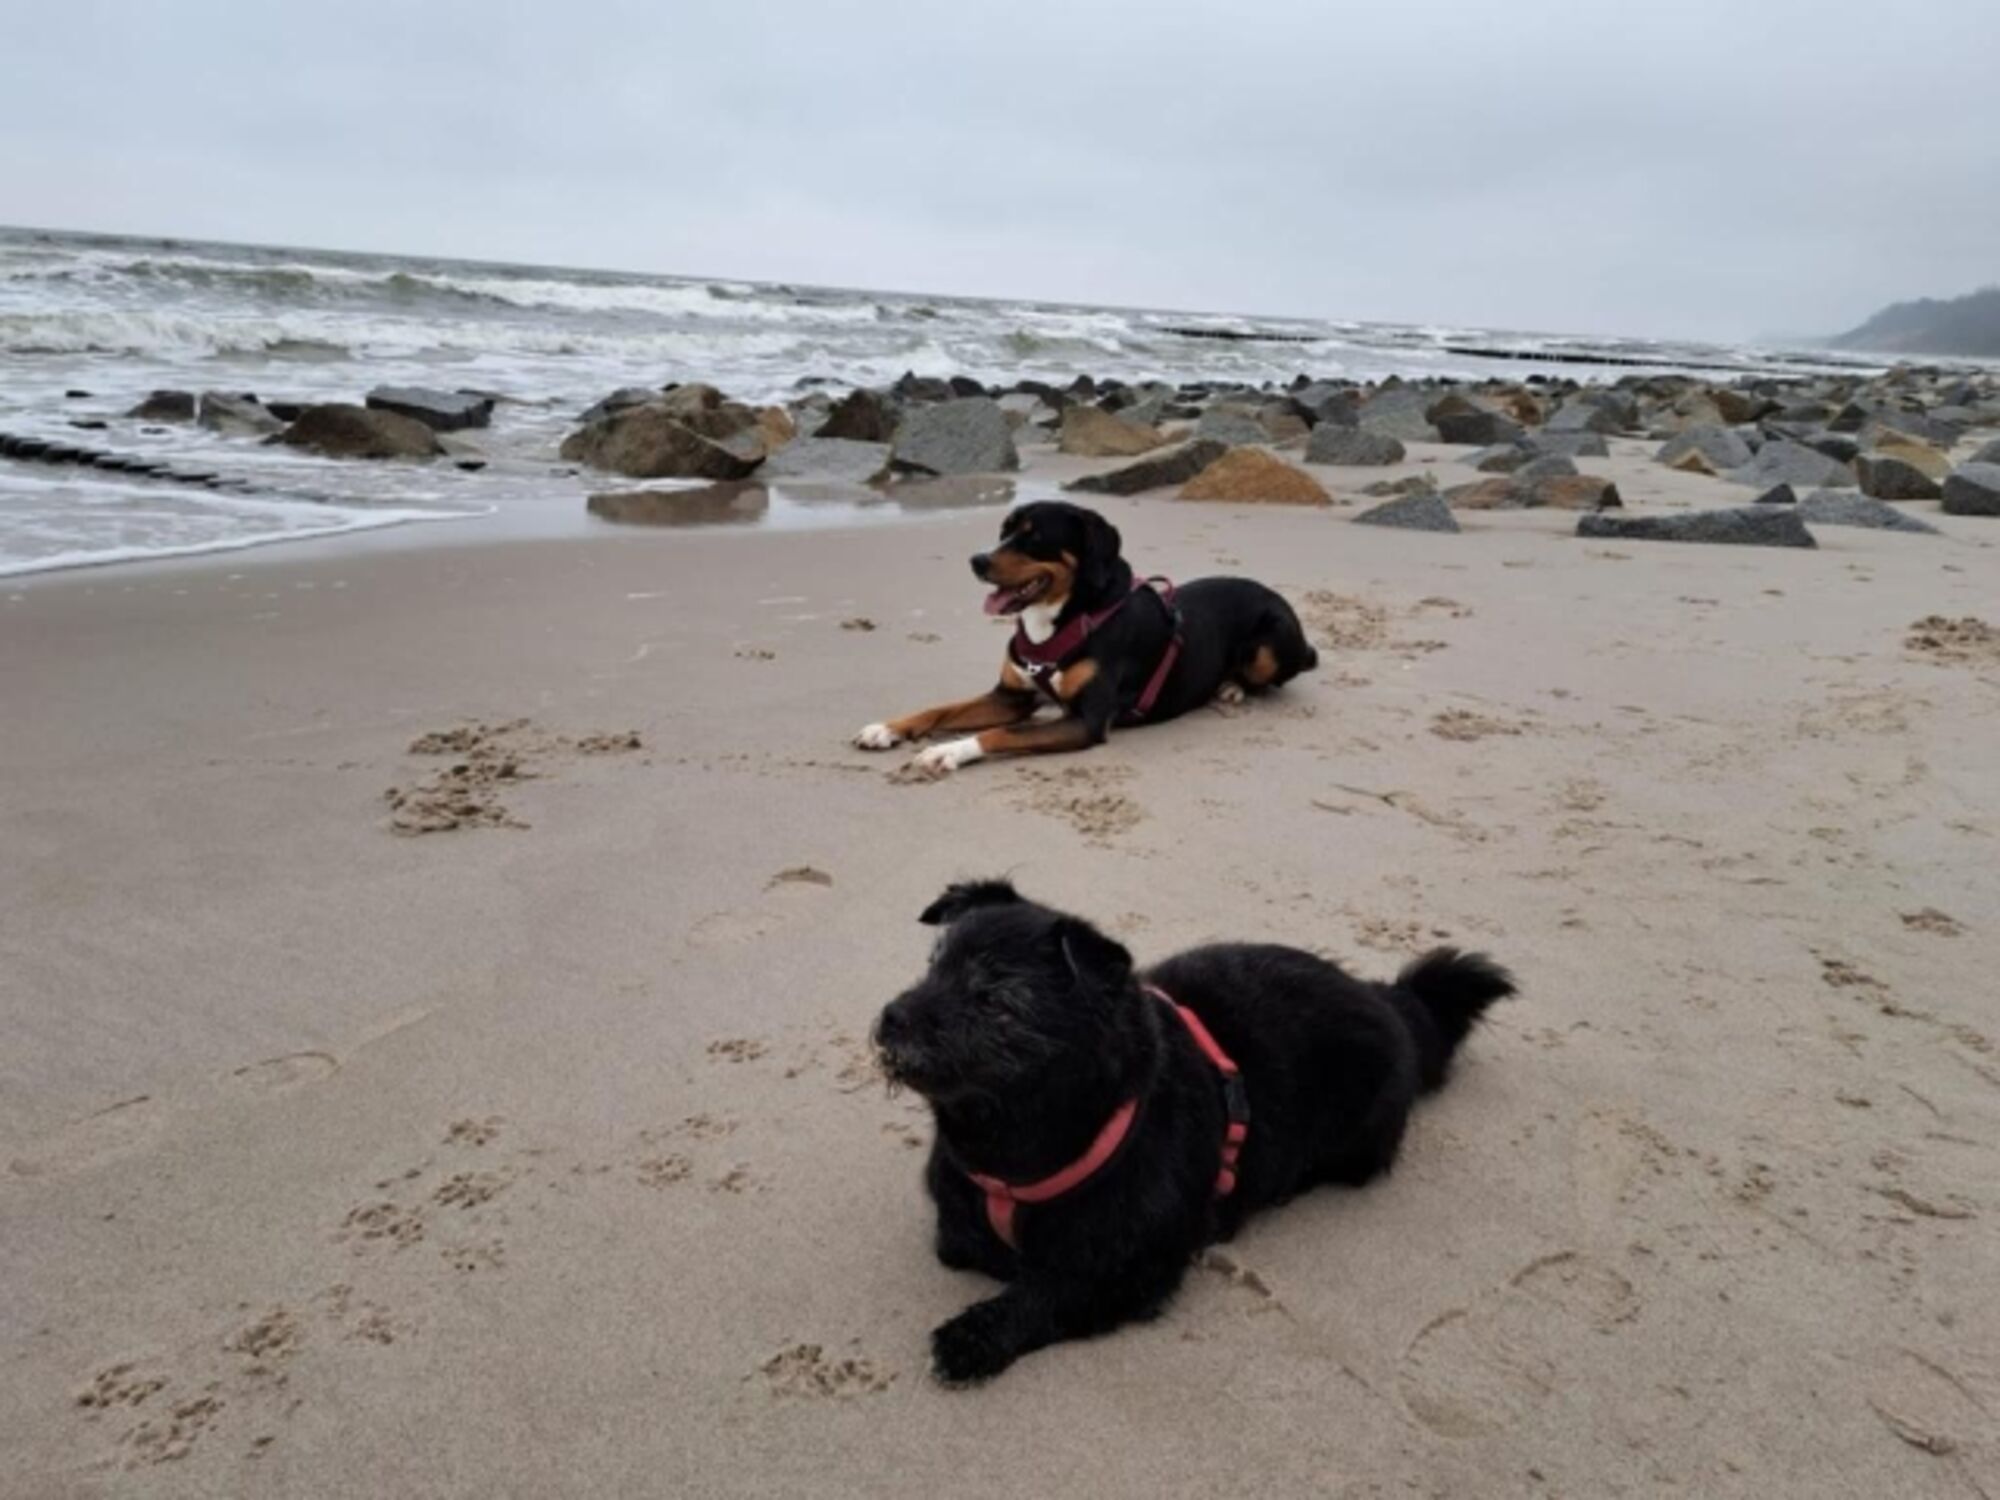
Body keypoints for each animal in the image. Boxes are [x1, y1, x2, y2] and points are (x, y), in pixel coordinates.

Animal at [853, 501, 1318, 778]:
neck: (1061, 620)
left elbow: (1003, 732)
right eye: (1004, 532)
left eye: (1034, 535)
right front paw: (887, 728)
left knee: (1269, 679)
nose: (977, 561)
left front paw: (949, 750)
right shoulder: (1010, 695)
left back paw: (1233, 687)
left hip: (1269, 644)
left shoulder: (1086, 721)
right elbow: (940, 709)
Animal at [873, 879, 1515, 1383]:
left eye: (995, 999)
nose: (890, 1019)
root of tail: (1389, 1000)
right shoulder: (961, 1210)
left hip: (1359, 1135)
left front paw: (973, 1336)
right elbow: (965, 1240)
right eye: (932, 966)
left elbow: (1045, 1291)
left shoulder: (1132, 1271)